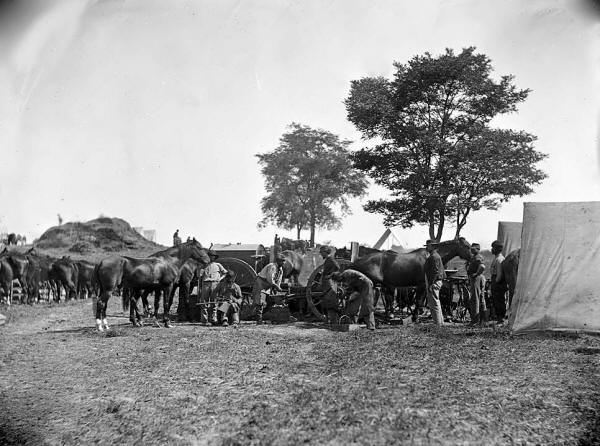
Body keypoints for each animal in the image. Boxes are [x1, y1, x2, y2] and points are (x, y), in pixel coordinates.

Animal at [346, 239, 474, 318]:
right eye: (466, 246)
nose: (473, 257)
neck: (429, 256)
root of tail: (357, 261)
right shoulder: (421, 284)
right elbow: (419, 300)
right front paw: (415, 316)